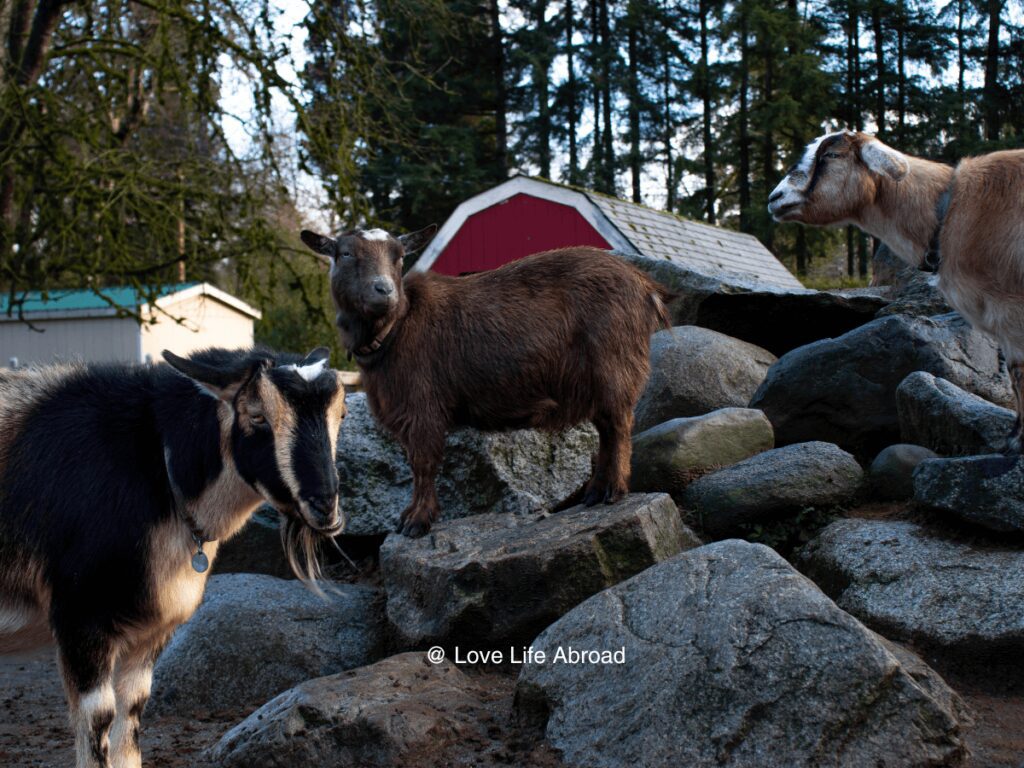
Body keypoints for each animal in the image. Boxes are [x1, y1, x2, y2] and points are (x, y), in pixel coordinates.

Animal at [0, 346, 348, 765]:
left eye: (341, 414)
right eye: (257, 417)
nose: (325, 507)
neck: (157, 467)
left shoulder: (149, 630)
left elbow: (132, 714)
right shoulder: (79, 616)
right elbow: (98, 719)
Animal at [299, 228, 675, 536]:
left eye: (399, 255)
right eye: (345, 253)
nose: (384, 291)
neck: (396, 327)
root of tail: (647, 288)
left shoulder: (423, 406)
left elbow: (423, 464)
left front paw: (417, 521)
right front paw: (412, 516)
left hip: (614, 365)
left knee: (619, 427)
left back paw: (613, 490)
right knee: (607, 430)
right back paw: (596, 492)